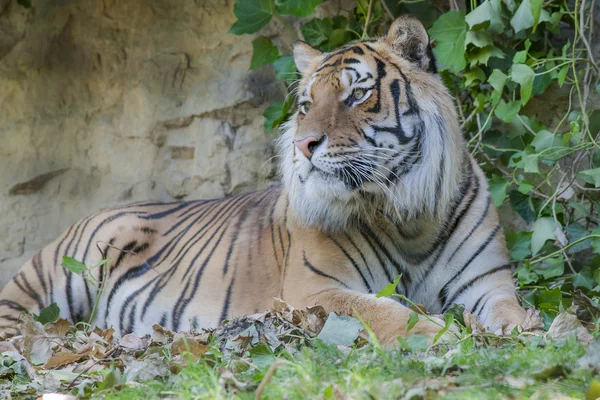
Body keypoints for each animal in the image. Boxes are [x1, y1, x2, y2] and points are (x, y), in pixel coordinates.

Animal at [0, 17, 524, 346]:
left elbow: (512, 314)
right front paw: (441, 333)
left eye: (357, 95)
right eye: (307, 105)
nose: (305, 145)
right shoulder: (316, 292)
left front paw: (532, 334)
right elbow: (385, 310)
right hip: (57, 274)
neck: (407, 217)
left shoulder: (489, 283)